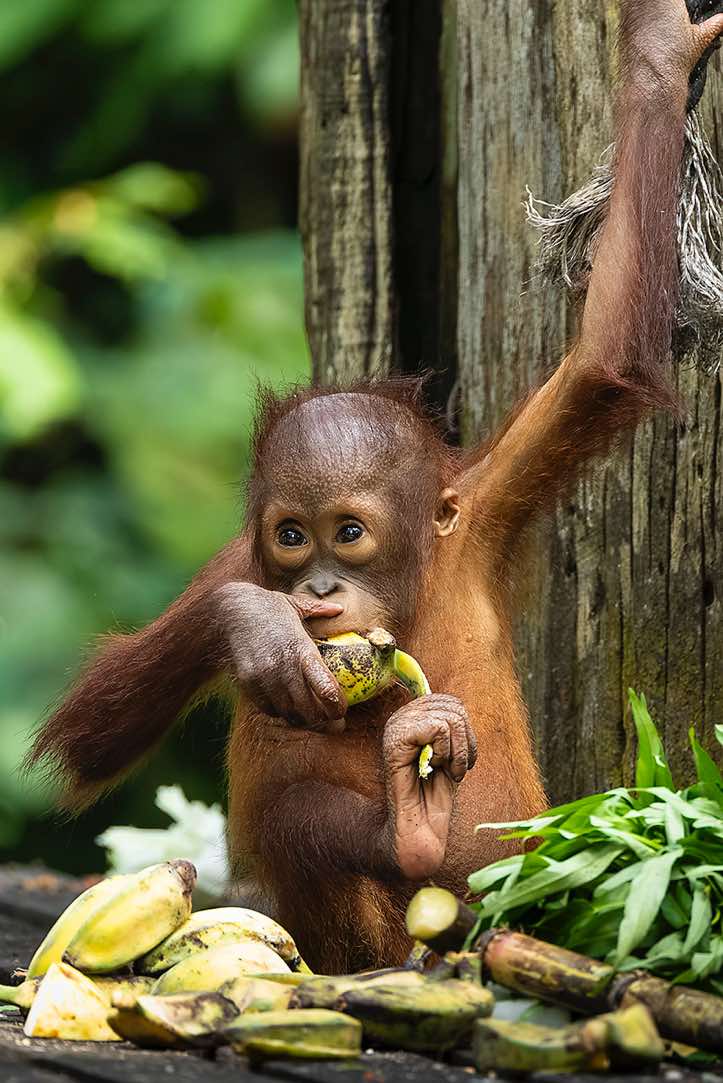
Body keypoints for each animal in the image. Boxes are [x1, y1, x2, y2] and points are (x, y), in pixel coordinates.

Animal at [26, 2, 723, 972]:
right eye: (290, 537)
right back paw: (409, 832)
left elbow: (607, 360)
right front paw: (255, 626)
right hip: (369, 941)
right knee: (296, 818)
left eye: (348, 532)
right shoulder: (233, 561)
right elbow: (91, 732)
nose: (317, 588)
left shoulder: (481, 505)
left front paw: (658, 53)